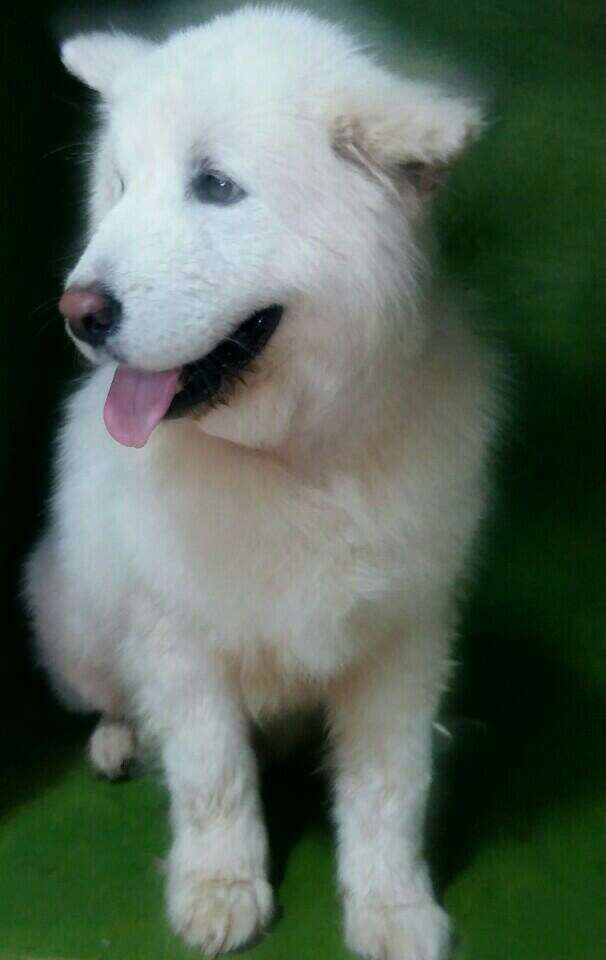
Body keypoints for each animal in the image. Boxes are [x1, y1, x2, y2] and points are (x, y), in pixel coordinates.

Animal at [23, 9, 498, 960]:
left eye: (215, 187)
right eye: (120, 186)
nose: (78, 312)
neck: (290, 460)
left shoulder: (403, 642)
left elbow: (390, 790)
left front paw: (392, 909)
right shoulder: (179, 642)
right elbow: (213, 780)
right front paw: (220, 893)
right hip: (72, 617)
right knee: (109, 697)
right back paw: (117, 742)